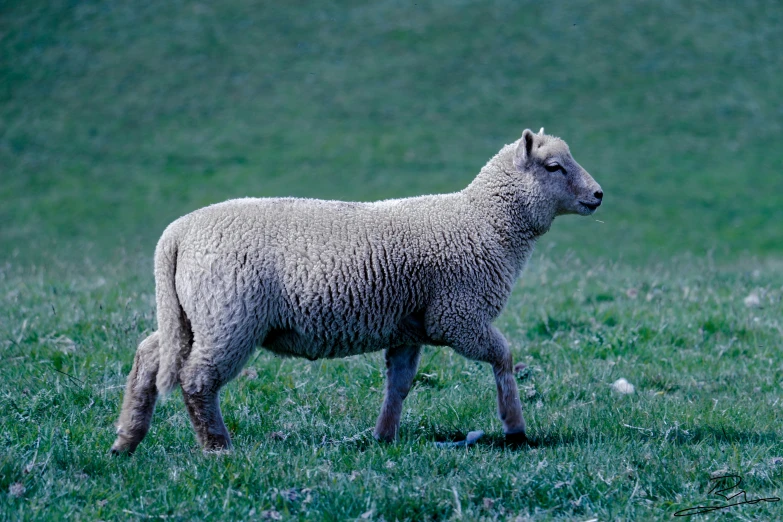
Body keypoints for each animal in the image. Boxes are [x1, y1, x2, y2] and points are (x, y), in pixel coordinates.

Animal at [110, 127, 604, 450]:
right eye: (554, 166)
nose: (598, 195)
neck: (485, 221)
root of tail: (176, 233)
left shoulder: (411, 328)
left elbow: (400, 384)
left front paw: (382, 437)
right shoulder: (456, 316)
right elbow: (504, 356)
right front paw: (514, 427)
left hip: (192, 312)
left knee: (150, 355)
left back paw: (126, 440)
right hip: (229, 316)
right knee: (196, 378)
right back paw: (217, 447)